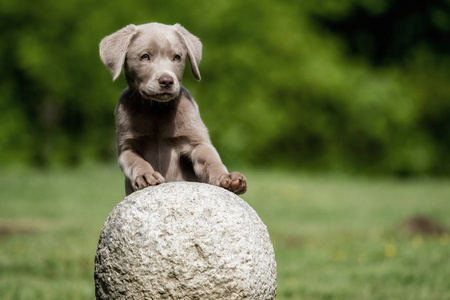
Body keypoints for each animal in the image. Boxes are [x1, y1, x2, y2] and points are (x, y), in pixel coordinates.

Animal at [100, 22, 248, 196]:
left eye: (177, 57)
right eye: (145, 56)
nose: (166, 81)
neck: (156, 109)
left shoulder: (197, 141)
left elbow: (210, 160)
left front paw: (228, 178)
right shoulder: (126, 148)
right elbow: (136, 161)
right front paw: (145, 175)